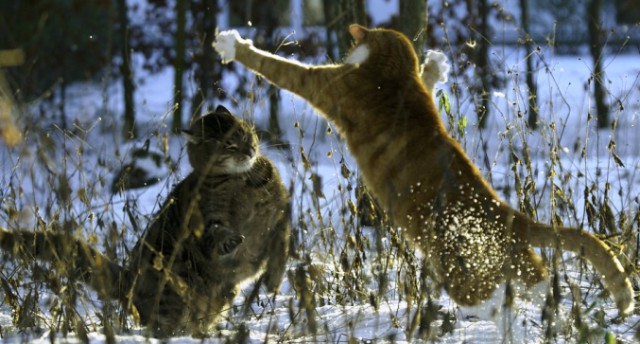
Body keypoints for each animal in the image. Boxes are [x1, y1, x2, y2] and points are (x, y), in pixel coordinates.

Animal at [0, 106, 290, 338]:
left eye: (245, 133)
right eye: (229, 145)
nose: (250, 149)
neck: (240, 182)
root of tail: (127, 280)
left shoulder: (281, 214)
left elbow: (281, 246)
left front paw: (274, 279)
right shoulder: (208, 219)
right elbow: (218, 232)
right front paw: (230, 242)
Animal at [212, 24, 632, 314]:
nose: (349, 48)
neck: (395, 72)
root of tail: (511, 215)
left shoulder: (326, 84)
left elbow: (277, 66)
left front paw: (234, 45)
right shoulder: (418, 90)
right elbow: (428, 79)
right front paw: (436, 64)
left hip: (461, 268)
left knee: (491, 297)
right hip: (516, 264)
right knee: (541, 286)